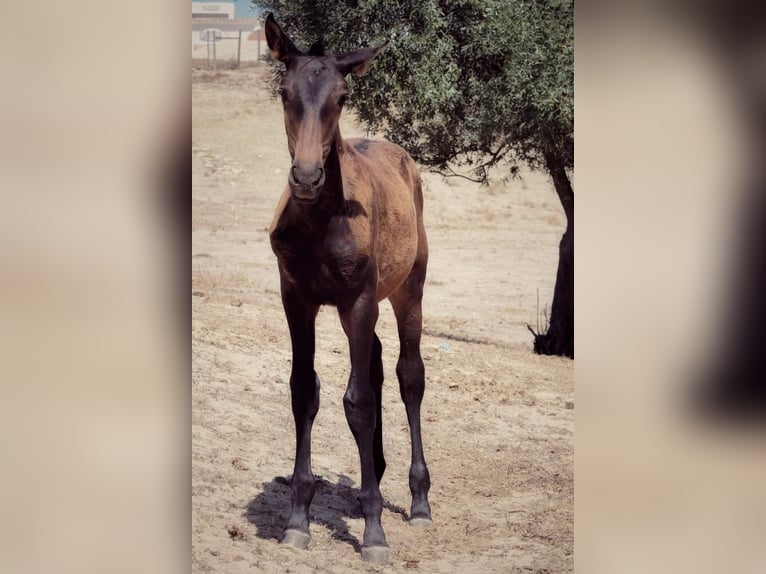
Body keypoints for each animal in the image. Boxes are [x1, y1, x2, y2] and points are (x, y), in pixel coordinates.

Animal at [264, 14, 432, 568]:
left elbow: (358, 400)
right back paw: (372, 474)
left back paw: (417, 500)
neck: (322, 220)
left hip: (406, 291)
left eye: (341, 96)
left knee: (407, 375)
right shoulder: (297, 298)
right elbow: (304, 390)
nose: (307, 176)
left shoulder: (357, 300)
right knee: (376, 364)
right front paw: (298, 520)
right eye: (284, 92)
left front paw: (375, 532)